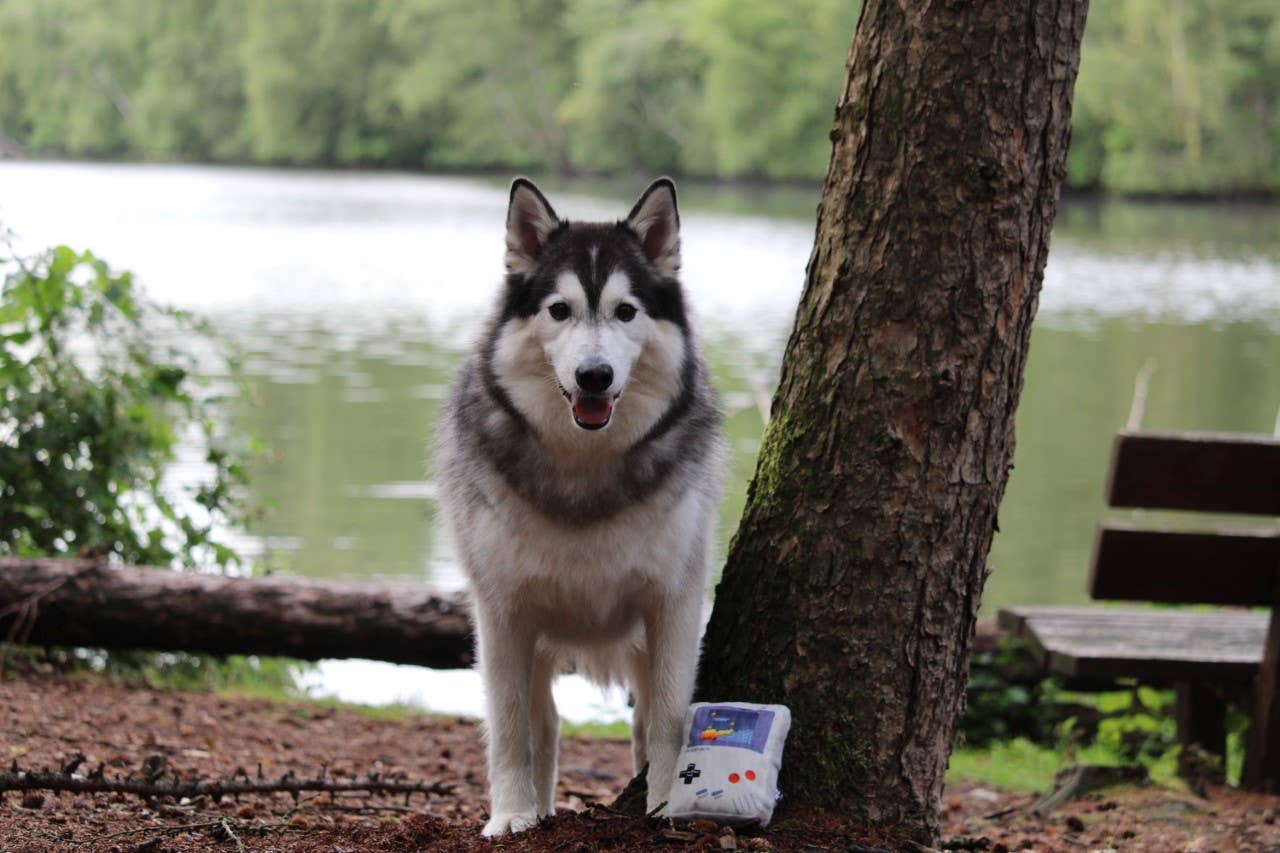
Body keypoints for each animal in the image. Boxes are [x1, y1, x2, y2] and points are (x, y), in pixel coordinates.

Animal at [435, 175, 727, 835]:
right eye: (559, 310)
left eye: (626, 311)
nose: (594, 376)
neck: (584, 467)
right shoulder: (502, 613)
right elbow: (511, 727)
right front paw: (510, 815)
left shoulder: (672, 603)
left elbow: (667, 718)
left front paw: (666, 806)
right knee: (544, 724)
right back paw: (538, 810)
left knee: (637, 721)